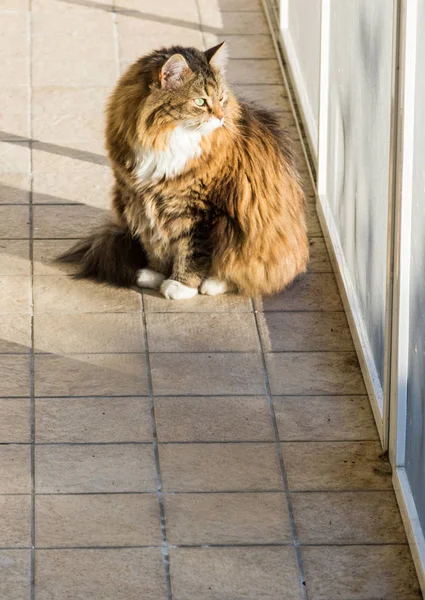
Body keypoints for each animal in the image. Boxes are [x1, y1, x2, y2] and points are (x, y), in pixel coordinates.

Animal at [58, 42, 308, 300]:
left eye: (221, 99)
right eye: (200, 102)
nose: (220, 118)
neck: (165, 138)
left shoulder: (201, 210)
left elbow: (193, 251)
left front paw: (181, 286)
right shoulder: (141, 201)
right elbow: (154, 242)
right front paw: (155, 273)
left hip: (245, 234)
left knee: (245, 272)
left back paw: (213, 284)